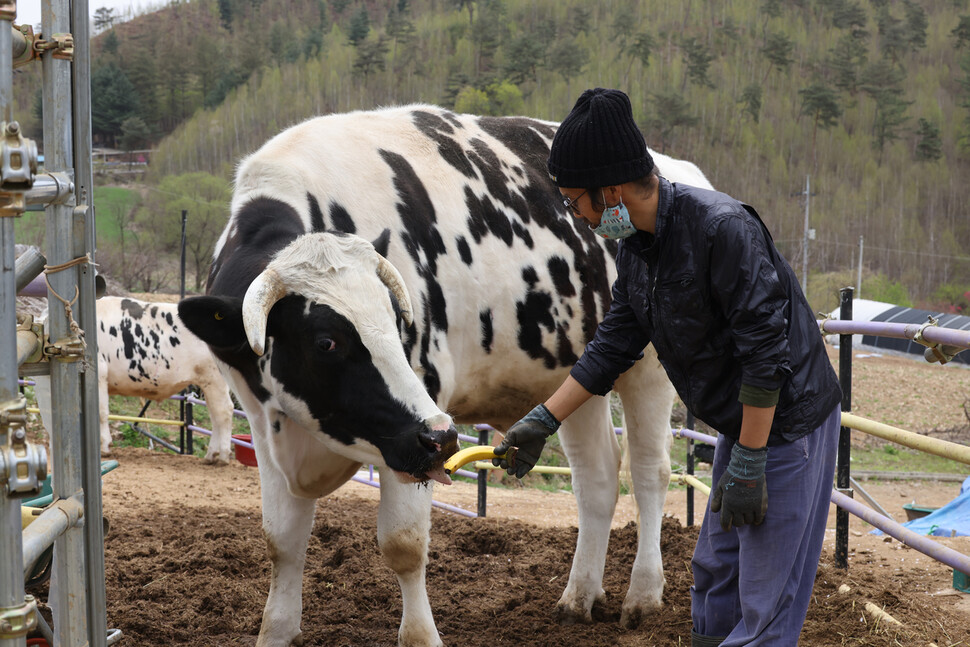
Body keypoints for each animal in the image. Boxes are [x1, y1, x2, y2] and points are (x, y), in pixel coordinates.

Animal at [35, 296, 234, 464]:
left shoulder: (99, 376)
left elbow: (100, 412)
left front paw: (104, 446)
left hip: (215, 378)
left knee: (223, 412)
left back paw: (221, 456)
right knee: (215, 415)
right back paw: (212, 455)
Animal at [180, 106, 712, 647]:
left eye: (399, 321)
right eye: (326, 341)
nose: (441, 437)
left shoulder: (416, 420)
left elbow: (403, 543)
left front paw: (420, 635)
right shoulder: (267, 425)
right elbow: (281, 541)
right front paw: (277, 631)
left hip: (648, 368)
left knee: (648, 473)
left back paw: (642, 595)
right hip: (577, 374)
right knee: (597, 477)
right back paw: (578, 597)